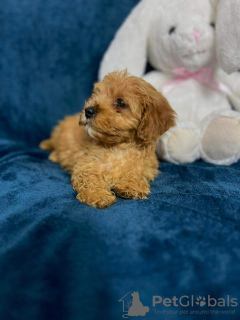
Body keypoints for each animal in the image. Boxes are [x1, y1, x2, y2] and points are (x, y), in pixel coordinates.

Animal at [39, 71, 176, 209]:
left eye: (120, 102)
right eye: (97, 94)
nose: (88, 110)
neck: (119, 146)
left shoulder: (147, 166)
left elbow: (136, 172)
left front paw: (131, 185)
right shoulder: (86, 165)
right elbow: (90, 179)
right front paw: (98, 195)